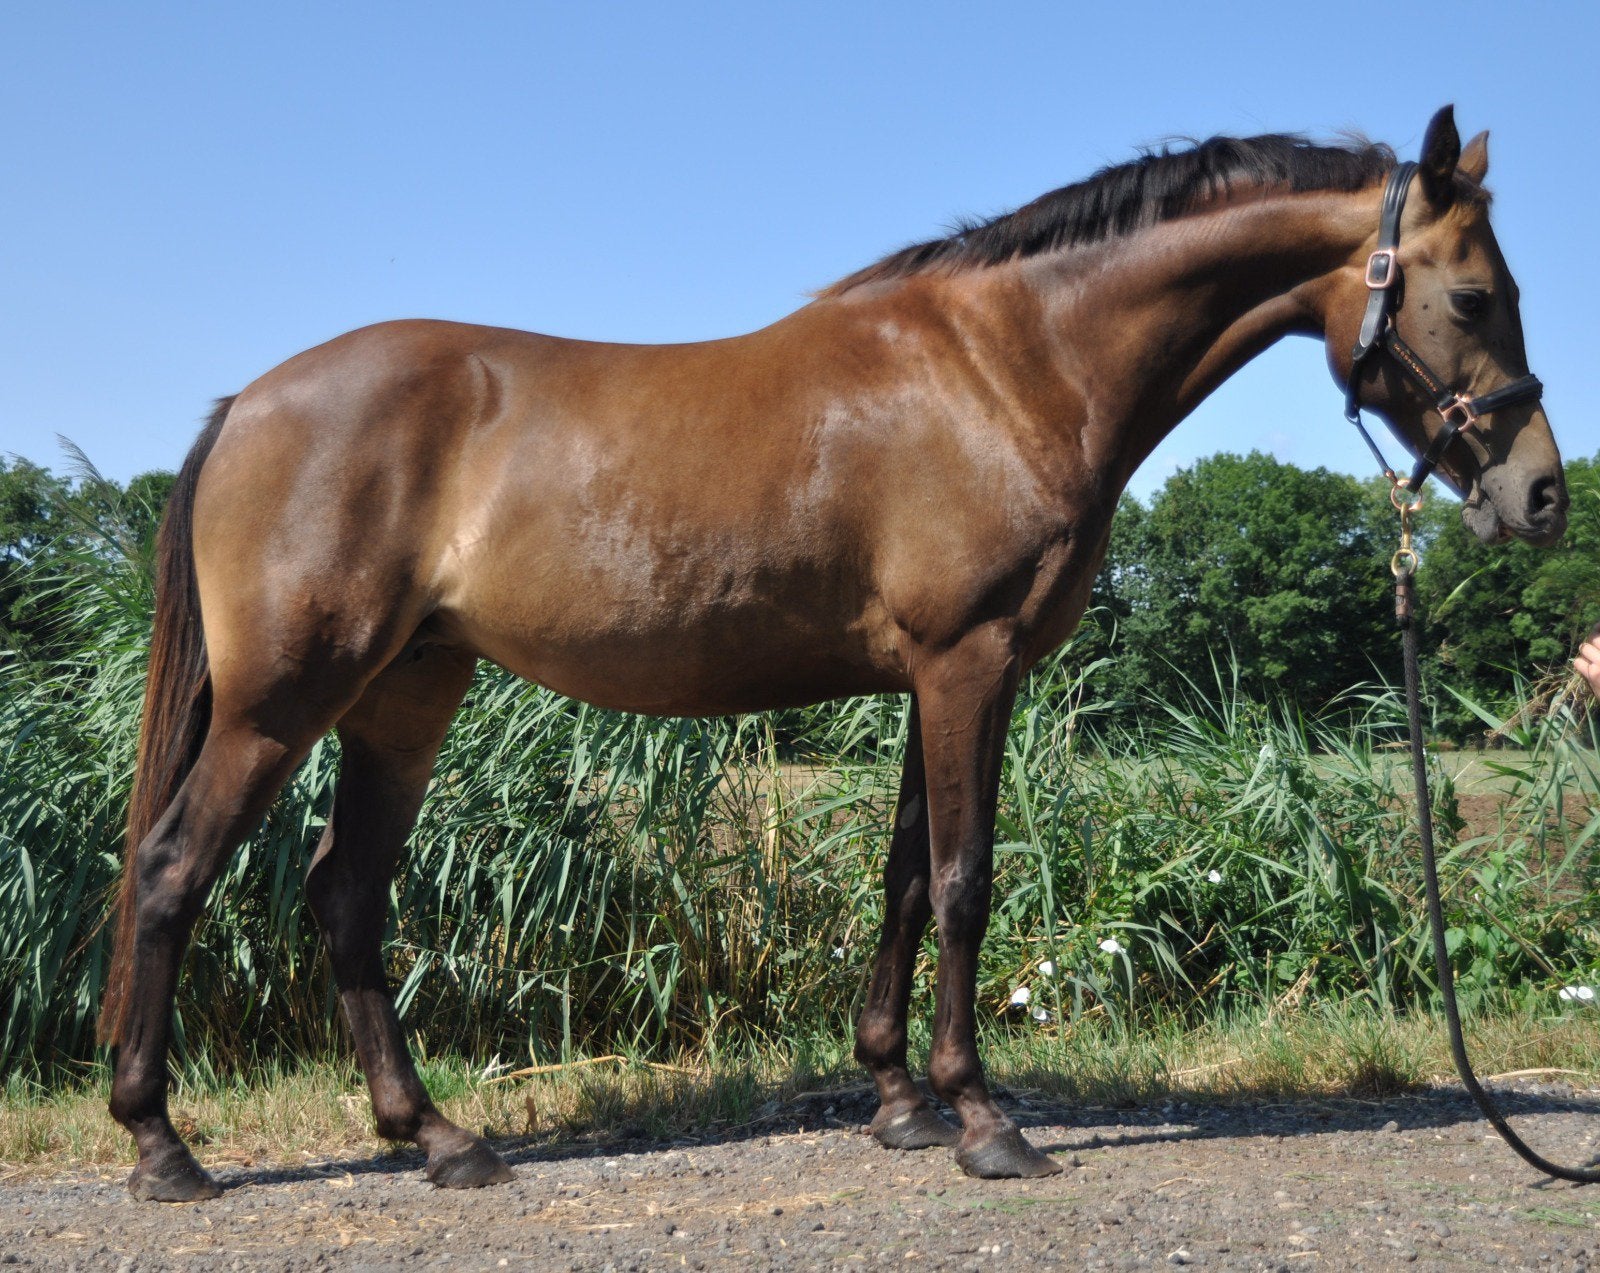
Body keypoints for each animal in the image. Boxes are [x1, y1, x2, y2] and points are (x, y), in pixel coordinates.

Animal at [100, 105, 1567, 1199]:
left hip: (405, 695)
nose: (1542, 495)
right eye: (1474, 293)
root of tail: (249, 406)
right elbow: (965, 883)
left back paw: (442, 1140)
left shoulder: (942, 677)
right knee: (174, 872)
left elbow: (908, 882)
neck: (1008, 367)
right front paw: (987, 1123)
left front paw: (901, 1099)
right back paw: (165, 1147)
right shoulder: (968, 663)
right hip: (283, 703)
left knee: (346, 892)